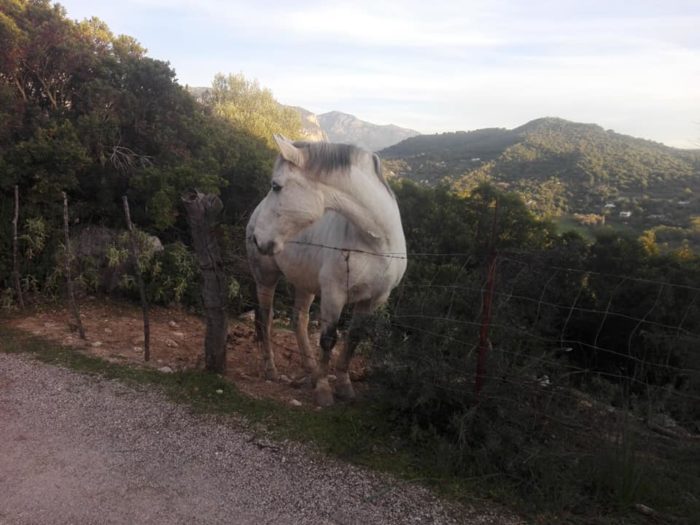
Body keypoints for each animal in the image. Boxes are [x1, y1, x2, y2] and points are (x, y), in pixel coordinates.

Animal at [249, 134, 408, 406]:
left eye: (276, 186)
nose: (258, 239)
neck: (376, 243)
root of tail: (255, 212)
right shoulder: (335, 294)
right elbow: (328, 339)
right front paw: (324, 390)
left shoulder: (374, 300)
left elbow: (353, 338)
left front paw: (344, 385)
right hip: (266, 279)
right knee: (265, 319)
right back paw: (271, 368)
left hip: (305, 285)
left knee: (299, 321)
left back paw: (310, 370)